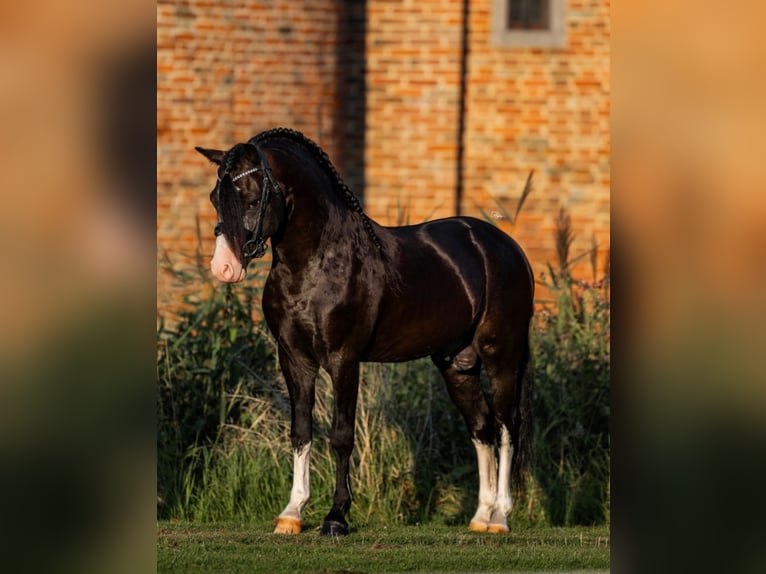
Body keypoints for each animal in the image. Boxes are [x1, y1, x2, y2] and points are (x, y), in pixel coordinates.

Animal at [195, 128, 536, 536]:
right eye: (215, 198)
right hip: (458, 365)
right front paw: (292, 513)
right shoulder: (294, 359)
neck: (317, 262)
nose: (224, 268)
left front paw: (336, 517)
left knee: (505, 427)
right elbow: (301, 431)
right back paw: (480, 517)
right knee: (481, 427)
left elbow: (341, 436)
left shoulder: (344, 360)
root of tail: (506, 246)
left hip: (502, 356)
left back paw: (500, 517)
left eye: (250, 198)